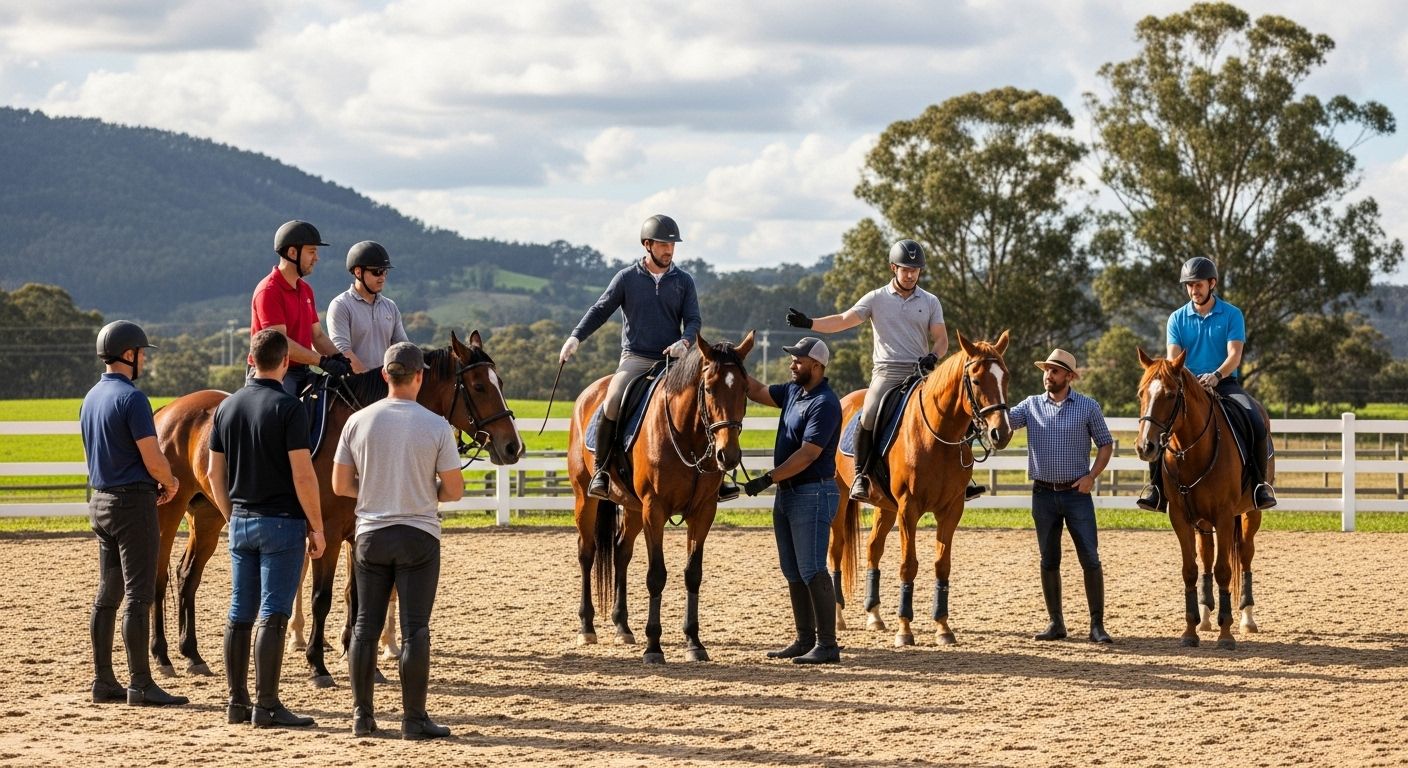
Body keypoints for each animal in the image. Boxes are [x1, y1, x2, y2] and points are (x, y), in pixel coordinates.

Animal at [150, 330, 523, 684]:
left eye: (502, 384)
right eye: (478, 386)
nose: (513, 447)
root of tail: (166, 411)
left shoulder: (360, 533)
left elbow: (358, 596)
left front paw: (367, 665)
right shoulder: (326, 534)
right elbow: (322, 597)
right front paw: (317, 664)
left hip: (207, 516)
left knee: (187, 575)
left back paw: (192, 654)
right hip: (168, 514)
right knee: (159, 577)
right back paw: (162, 656)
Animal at [570, 332, 754, 664]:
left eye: (745, 390)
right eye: (709, 388)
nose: (728, 455)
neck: (689, 437)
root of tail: (588, 394)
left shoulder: (703, 511)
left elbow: (693, 574)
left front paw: (694, 642)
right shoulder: (654, 509)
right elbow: (656, 575)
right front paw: (653, 646)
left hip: (632, 507)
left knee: (621, 552)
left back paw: (622, 627)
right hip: (586, 499)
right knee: (586, 553)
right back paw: (587, 627)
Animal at [828, 331, 1012, 647]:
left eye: (1006, 378)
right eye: (976, 380)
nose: (1002, 433)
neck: (937, 435)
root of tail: (844, 401)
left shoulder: (951, 509)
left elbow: (942, 565)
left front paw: (943, 627)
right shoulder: (908, 509)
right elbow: (908, 565)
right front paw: (905, 629)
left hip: (885, 506)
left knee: (873, 548)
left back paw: (874, 615)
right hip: (839, 499)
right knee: (836, 549)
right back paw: (838, 615)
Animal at [1135, 348, 1265, 649]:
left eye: (1171, 394)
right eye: (1141, 393)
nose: (1146, 446)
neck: (1191, 452)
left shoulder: (1225, 516)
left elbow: (1224, 570)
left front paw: (1226, 633)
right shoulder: (1180, 519)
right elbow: (1191, 570)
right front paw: (1190, 630)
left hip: (1250, 514)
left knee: (1246, 556)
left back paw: (1247, 618)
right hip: (1203, 523)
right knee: (1206, 557)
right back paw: (1206, 617)